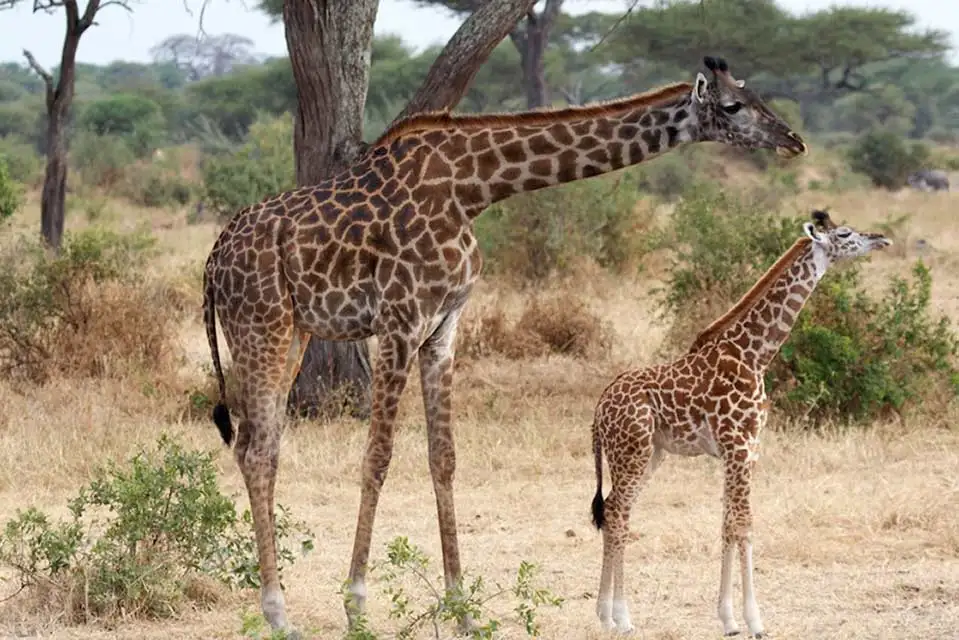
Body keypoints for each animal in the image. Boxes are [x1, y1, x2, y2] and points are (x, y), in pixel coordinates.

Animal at [201, 55, 807, 633]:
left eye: (753, 94)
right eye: (732, 105)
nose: (793, 140)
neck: (474, 187)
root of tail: (212, 262)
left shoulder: (442, 328)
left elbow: (443, 458)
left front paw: (461, 608)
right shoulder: (399, 319)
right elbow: (377, 457)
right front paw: (356, 606)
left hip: (292, 333)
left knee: (260, 444)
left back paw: (277, 604)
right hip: (261, 325)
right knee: (256, 450)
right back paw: (278, 612)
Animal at [588, 210, 892, 636]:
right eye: (846, 234)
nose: (881, 239)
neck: (755, 355)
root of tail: (599, 409)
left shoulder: (746, 450)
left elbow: (728, 524)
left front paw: (728, 618)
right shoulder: (739, 445)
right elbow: (744, 523)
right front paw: (755, 620)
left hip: (650, 455)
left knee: (617, 509)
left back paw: (607, 615)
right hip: (632, 452)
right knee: (617, 513)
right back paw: (619, 617)